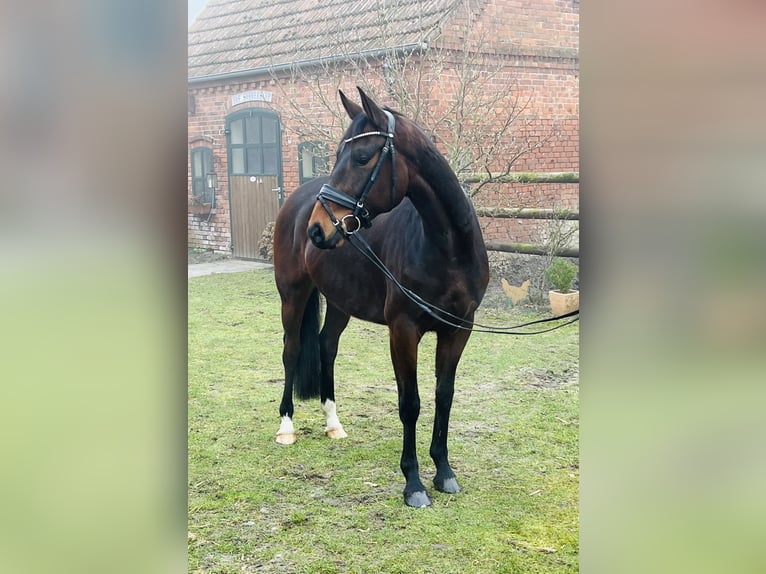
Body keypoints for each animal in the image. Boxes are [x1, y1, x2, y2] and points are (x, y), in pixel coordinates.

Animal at [272, 86, 488, 508]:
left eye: (360, 157)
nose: (318, 230)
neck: (448, 248)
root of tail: (297, 201)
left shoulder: (458, 329)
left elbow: (444, 396)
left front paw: (445, 472)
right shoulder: (402, 331)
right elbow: (410, 403)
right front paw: (414, 483)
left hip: (340, 302)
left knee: (326, 347)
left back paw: (334, 424)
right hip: (292, 296)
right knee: (292, 351)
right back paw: (286, 427)